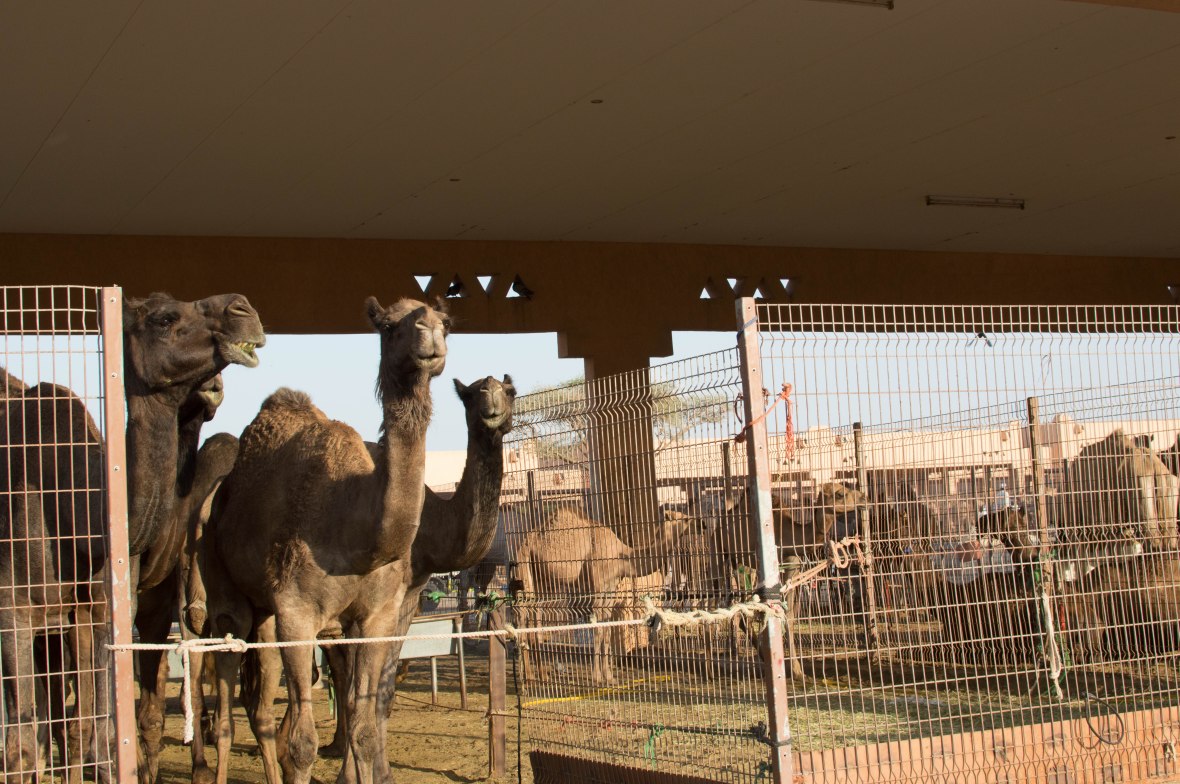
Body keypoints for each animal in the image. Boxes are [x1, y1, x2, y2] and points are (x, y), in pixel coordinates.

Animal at [0, 292, 265, 783]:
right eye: (164, 318)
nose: (243, 309)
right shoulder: (13, 610)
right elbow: (23, 749)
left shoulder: (103, 608)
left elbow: (104, 731)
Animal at [200, 297, 448, 784]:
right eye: (388, 325)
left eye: (446, 322)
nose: (429, 331)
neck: (360, 536)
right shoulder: (297, 614)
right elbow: (302, 744)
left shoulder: (376, 618)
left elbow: (365, 731)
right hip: (220, 585)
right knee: (226, 681)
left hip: (265, 612)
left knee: (258, 701)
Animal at [510, 506, 691, 685]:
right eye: (685, 518)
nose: (697, 522)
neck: (621, 557)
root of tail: (524, 542)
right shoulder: (597, 586)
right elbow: (597, 629)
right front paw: (597, 677)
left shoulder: (610, 589)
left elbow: (607, 628)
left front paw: (609, 677)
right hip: (524, 567)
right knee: (522, 616)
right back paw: (528, 676)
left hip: (541, 580)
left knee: (535, 617)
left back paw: (540, 675)